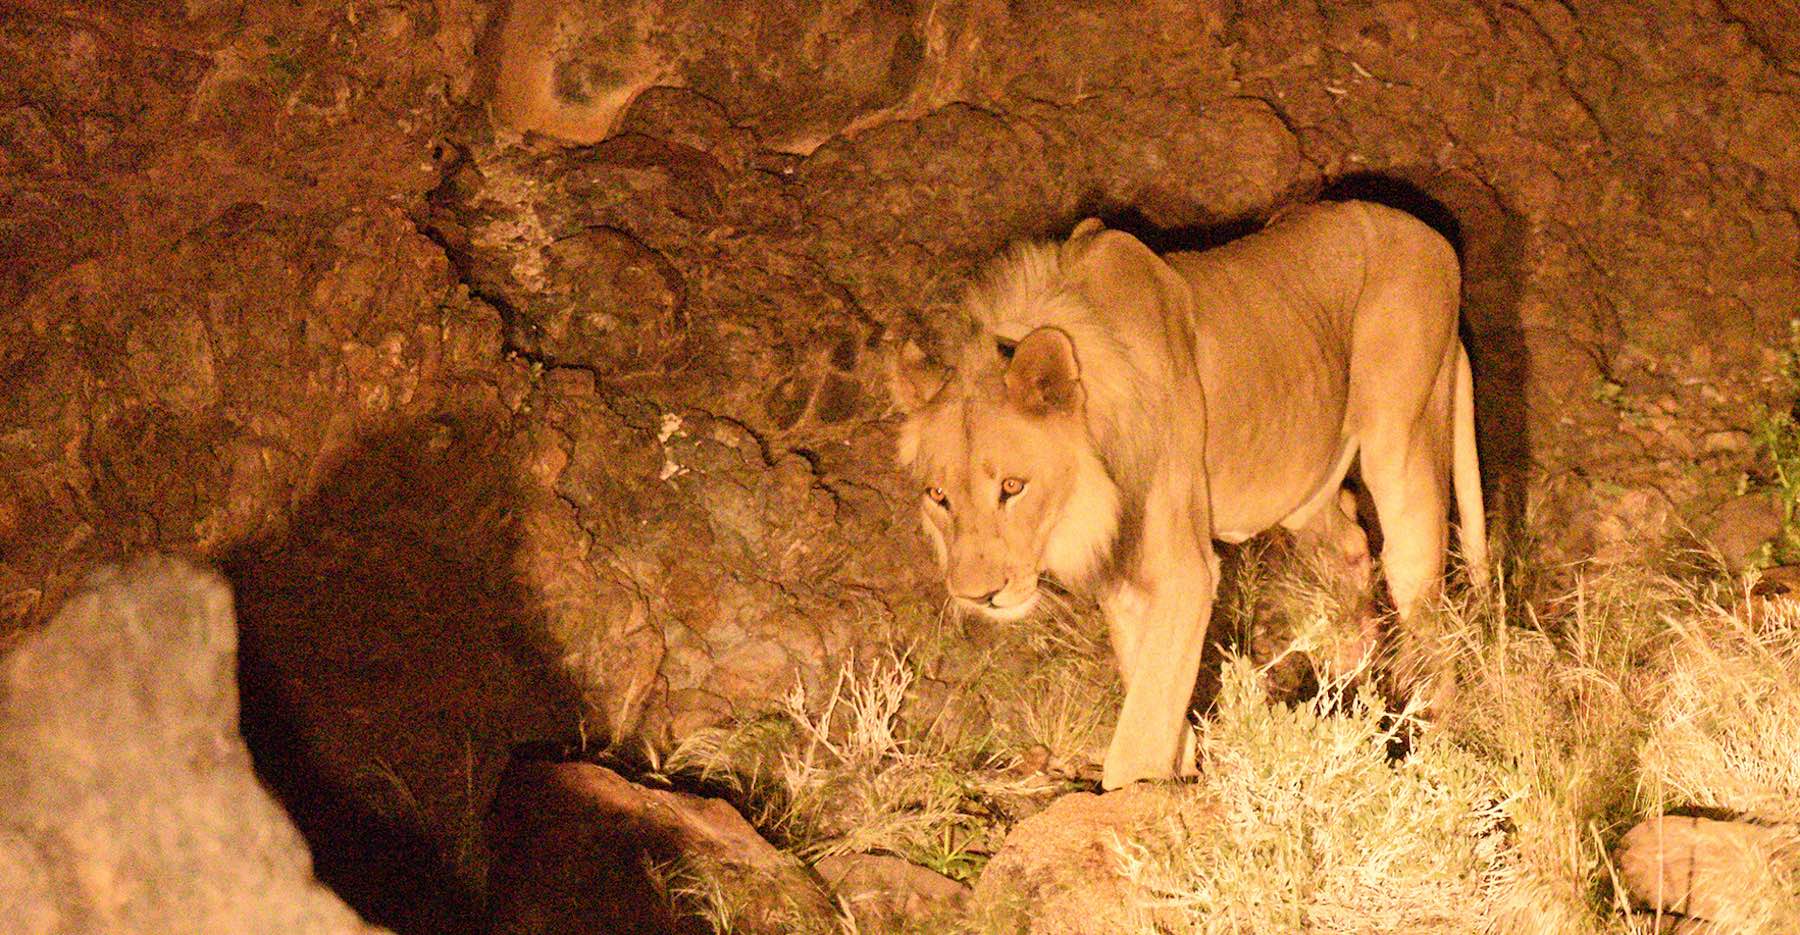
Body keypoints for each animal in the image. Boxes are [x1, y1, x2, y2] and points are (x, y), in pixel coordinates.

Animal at [889, 199, 1490, 789]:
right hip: (1304, 475)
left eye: (1012, 487)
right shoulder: (1125, 576)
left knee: (1427, 603)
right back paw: (1346, 685)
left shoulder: (1184, 572)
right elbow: (1153, 692)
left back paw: (1431, 741)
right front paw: (1177, 775)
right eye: (938, 495)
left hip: (1404, 447)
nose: (976, 596)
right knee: (1349, 540)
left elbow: (1139, 735)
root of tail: (1431, 235)